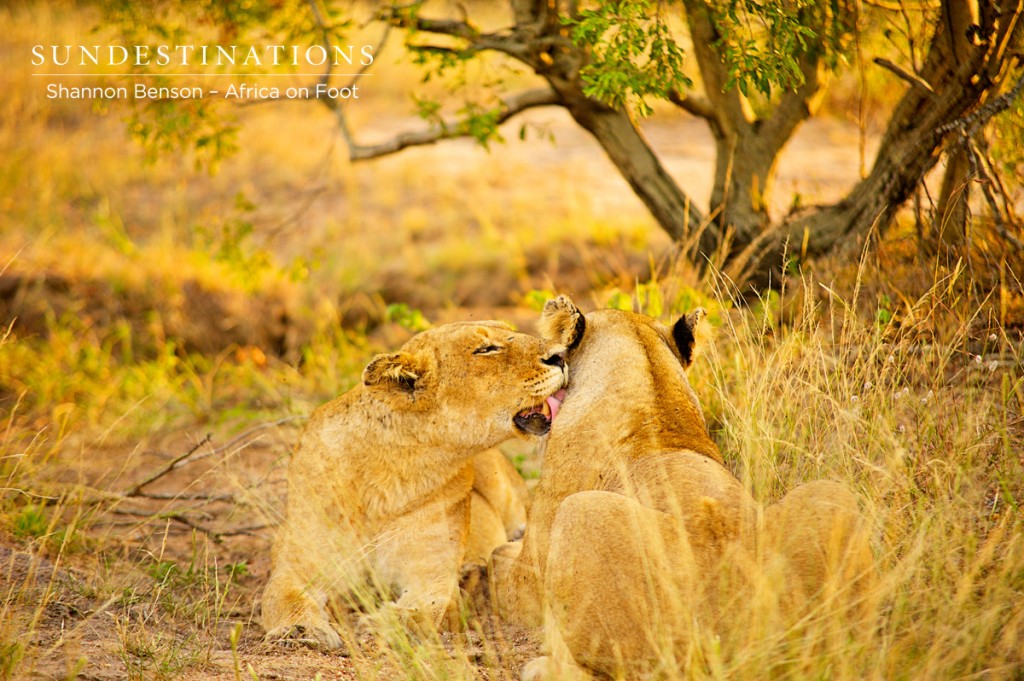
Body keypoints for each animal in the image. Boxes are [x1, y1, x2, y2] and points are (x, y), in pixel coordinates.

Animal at [260, 319, 569, 647]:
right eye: (485, 349)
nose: (562, 355)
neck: (392, 471)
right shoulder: (298, 564)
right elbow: (283, 597)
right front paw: (301, 630)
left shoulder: (432, 575)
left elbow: (426, 612)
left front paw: (380, 624)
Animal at [487, 294, 872, 675]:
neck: (653, 385)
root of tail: (747, 638)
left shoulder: (531, 580)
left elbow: (498, 565)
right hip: (831, 493)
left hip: (581, 511)